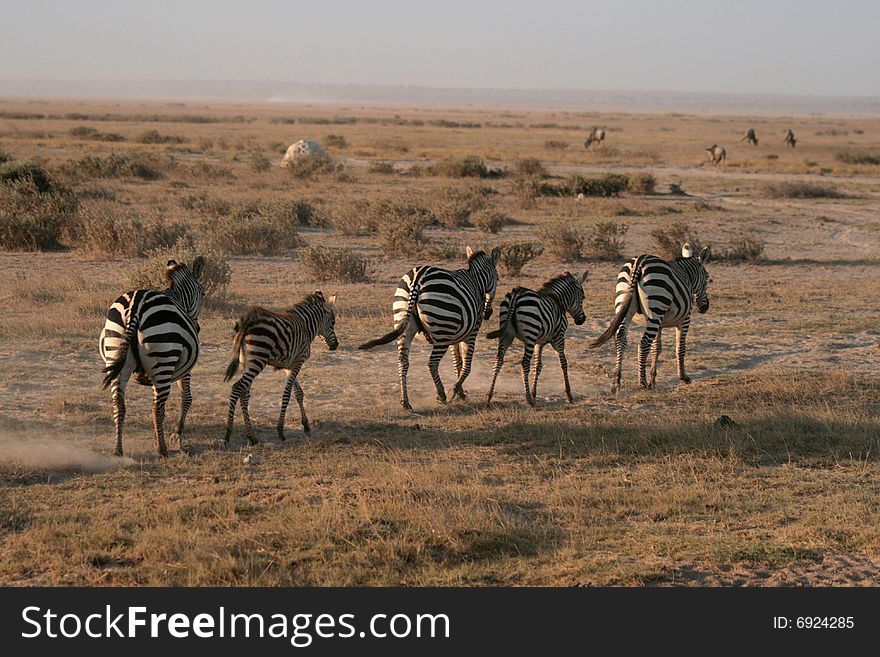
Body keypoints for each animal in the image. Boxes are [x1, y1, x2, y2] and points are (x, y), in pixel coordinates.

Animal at [99, 256, 205, 456]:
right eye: (202, 294)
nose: (198, 328)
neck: (177, 297)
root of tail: (135, 306)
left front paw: (159, 434)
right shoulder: (183, 369)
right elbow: (186, 398)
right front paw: (177, 434)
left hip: (117, 354)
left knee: (119, 404)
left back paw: (118, 449)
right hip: (164, 359)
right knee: (157, 408)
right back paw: (162, 450)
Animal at [223, 290, 336, 444]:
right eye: (333, 322)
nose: (335, 345)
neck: (306, 326)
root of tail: (247, 321)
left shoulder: (289, 365)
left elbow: (298, 393)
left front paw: (306, 425)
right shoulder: (298, 361)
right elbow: (287, 394)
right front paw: (280, 430)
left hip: (247, 361)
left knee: (244, 394)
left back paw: (252, 437)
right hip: (258, 359)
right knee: (237, 388)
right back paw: (228, 435)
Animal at [356, 246, 498, 410]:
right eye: (497, 279)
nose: (488, 313)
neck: (476, 281)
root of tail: (417, 279)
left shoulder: (455, 335)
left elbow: (457, 363)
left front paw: (460, 392)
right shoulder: (471, 333)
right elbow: (466, 365)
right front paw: (456, 390)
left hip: (405, 321)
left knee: (403, 361)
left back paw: (405, 402)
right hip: (442, 331)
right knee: (432, 363)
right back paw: (441, 395)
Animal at [484, 270, 588, 404]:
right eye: (583, 297)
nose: (582, 320)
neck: (558, 302)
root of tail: (516, 295)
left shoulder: (539, 342)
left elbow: (538, 366)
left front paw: (534, 393)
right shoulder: (559, 338)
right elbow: (563, 363)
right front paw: (569, 395)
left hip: (506, 335)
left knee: (498, 360)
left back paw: (489, 396)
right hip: (530, 335)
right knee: (524, 363)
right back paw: (528, 399)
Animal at [588, 243, 712, 392]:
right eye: (707, 277)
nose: (705, 307)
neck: (687, 275)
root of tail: (639, 262)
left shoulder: (660, 323)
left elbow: (656, 348)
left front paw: (653, 380)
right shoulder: (684, 320)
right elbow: (680, 348)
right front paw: (683, 377)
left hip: (625, 302)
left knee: (621, 337)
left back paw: (616, 382)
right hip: (656, 306)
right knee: (643, 343)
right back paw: (642, 383)